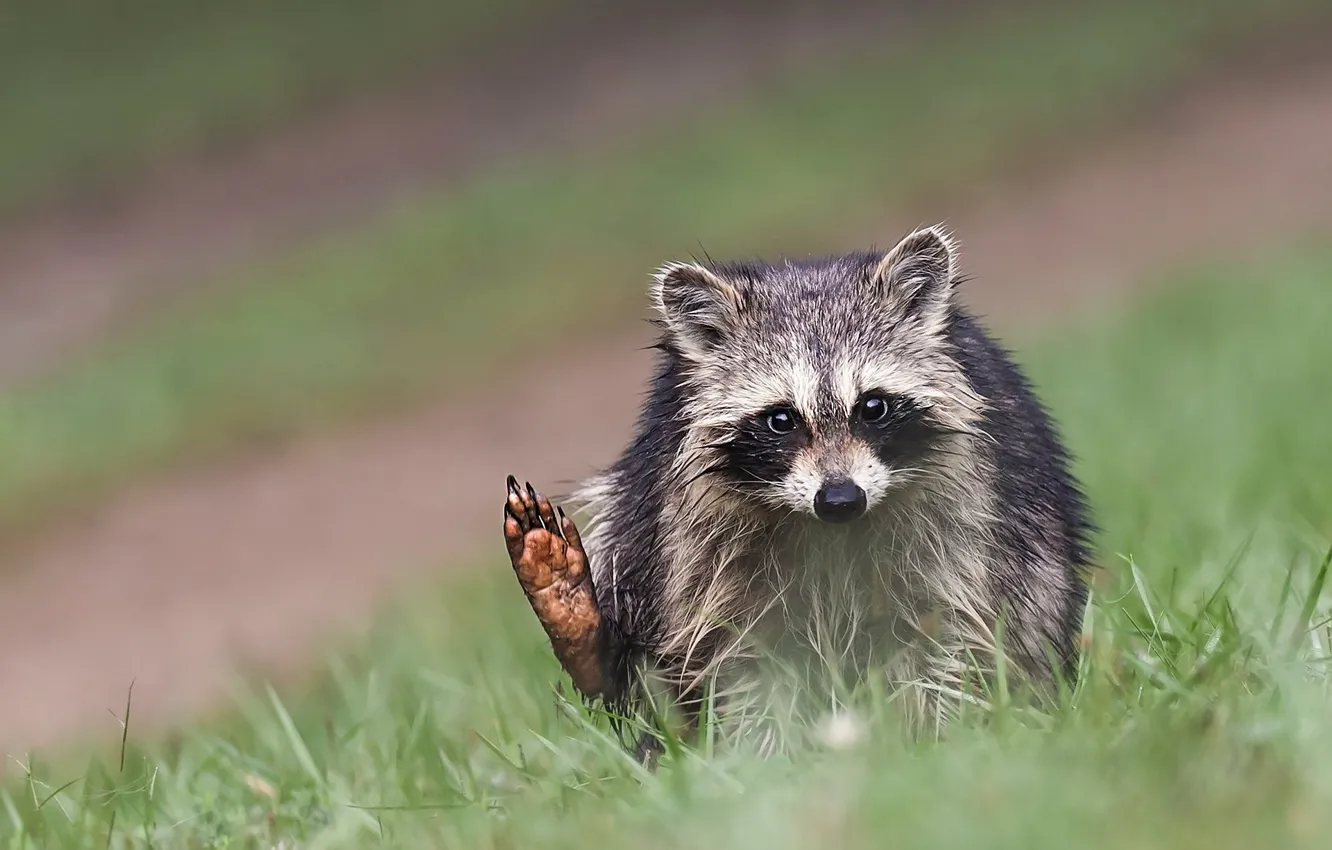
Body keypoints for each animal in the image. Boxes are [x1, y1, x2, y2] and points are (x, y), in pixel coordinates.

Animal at [502, 225, 1093, 757]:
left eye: (873, 406)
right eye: (781, 419)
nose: (840, 499)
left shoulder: (962, 505)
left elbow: (947, 627)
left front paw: (933, 737)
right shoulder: (699, 529)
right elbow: (732, 647)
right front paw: (764, 757)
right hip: (644, 509)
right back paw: (581, 626)